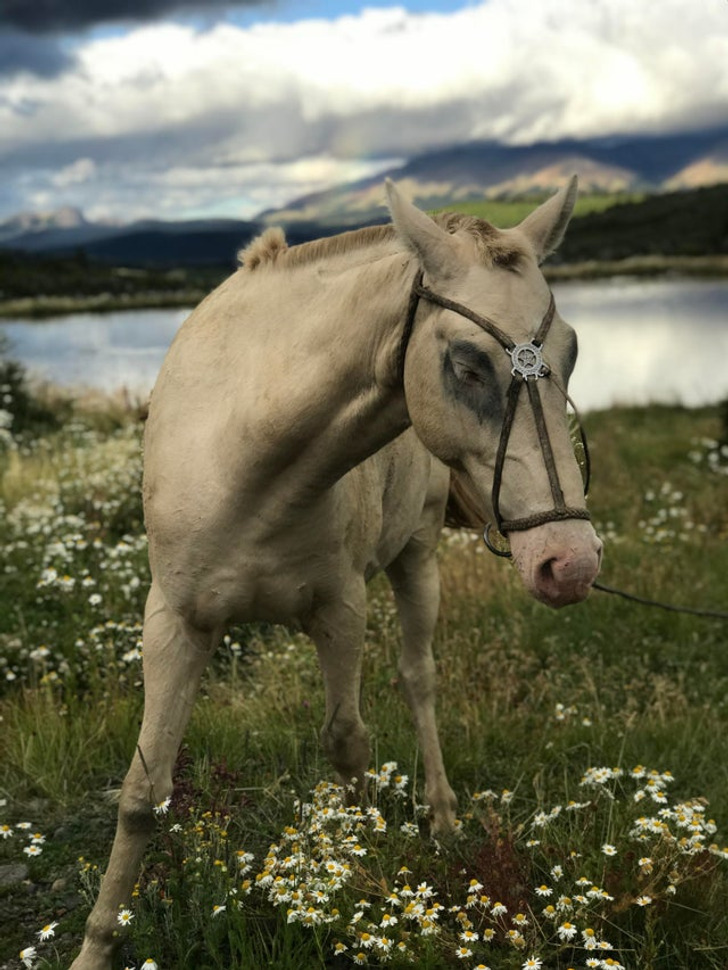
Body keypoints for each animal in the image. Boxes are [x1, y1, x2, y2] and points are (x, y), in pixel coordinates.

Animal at [69, 178, 604, 964]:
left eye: (570, 349)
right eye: (468, 364)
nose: (570, 562)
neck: (250, 459)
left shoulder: (341, 609)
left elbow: (348, 746)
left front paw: (366, 886)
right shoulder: (173, 620)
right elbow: (142, 792)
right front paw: (97, 945)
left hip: (416, 559)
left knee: (418, 679)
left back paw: (443, 819)